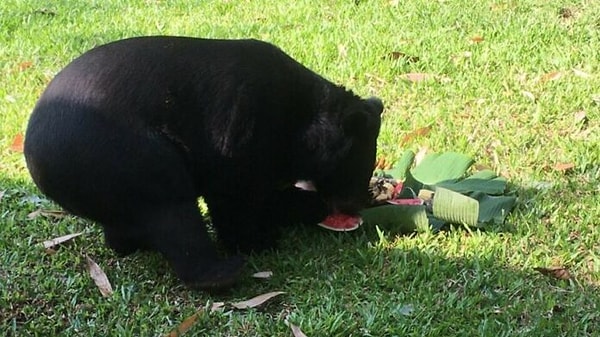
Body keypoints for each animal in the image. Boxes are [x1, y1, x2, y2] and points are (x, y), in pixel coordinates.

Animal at [24, 36, 384, 288]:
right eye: (357, 168)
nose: (355, 206)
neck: (302, 119)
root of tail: (35, 152)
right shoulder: (241, 137)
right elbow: (235, 199)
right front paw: (260, 241)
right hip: (125, 155)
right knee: (172, 210)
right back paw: (222, 274)